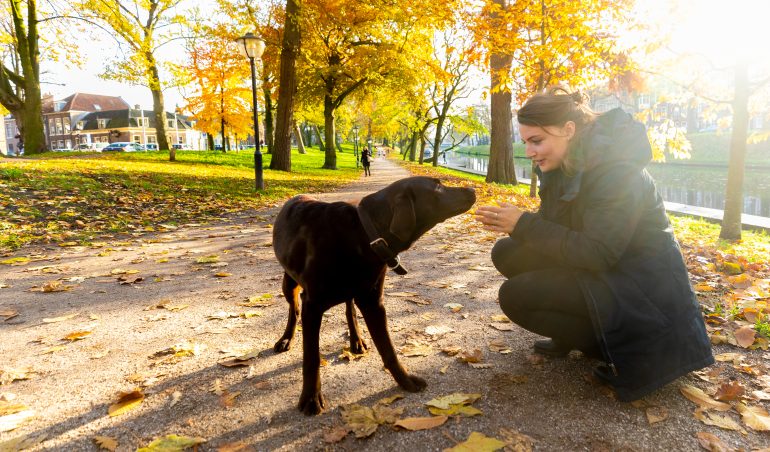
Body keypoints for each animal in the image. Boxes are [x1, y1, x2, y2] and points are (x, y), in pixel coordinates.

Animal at [270, 175, 474, 414]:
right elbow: (311, 358)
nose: (473, 189)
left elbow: (389, 350)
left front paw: (405, 381)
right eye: (437, 186)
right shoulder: (312, 305)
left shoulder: (373, 303)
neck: (364, 234)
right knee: (294, 310)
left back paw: (356, 339)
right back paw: (286, 338)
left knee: (348, 308)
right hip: (289, 283)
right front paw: (311, 398)